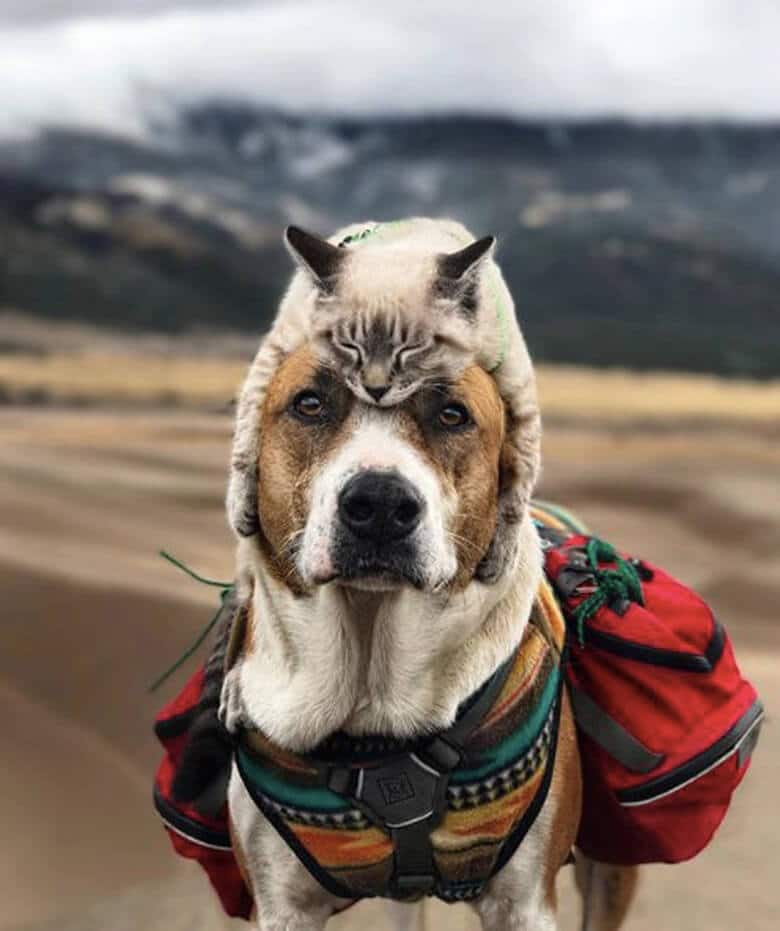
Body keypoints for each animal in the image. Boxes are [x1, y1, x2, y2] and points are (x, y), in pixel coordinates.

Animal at [216, 334, 636, 924]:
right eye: (309, 404)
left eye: (452, 414)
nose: (379, 503)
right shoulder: (282, 905)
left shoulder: (524, 902)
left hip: (611, 871)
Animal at [229, 217, 540, 584]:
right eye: (310, 405)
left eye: (452, 415)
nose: (381, 502)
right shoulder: (277, 346)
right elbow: (247, 423)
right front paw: (240, 502)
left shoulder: (516, 384)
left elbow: (522, 472)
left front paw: (502, 552)